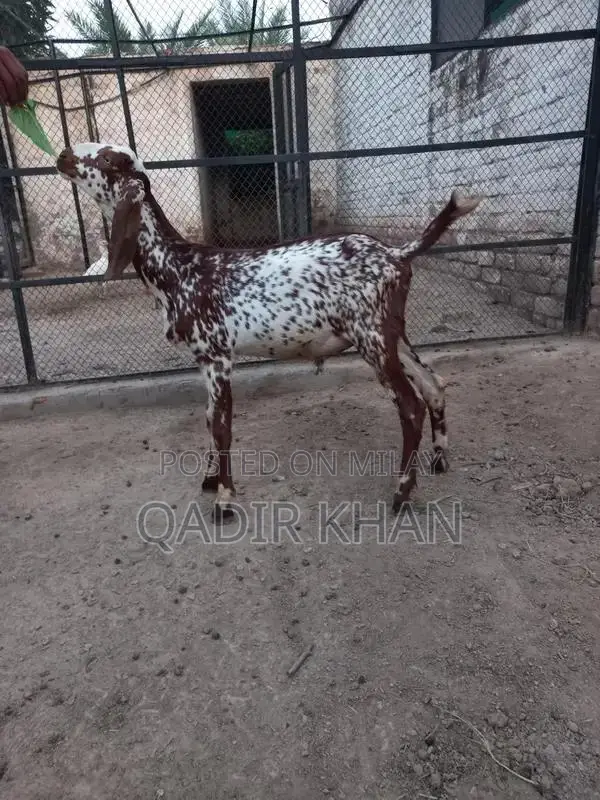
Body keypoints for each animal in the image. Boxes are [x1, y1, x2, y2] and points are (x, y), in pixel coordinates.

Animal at [56, 142, 483, 523]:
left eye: (107, 159)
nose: (63, 155)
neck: (178, 267)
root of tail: (397, 254)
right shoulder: (202, 358)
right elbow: (208, 417)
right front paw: (210, 479)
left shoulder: (217, 356)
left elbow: (222, 425)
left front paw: (224, 500)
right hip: (392, 332)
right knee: (434, 384)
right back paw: (439, 460)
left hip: (372, 337)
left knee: (410, 406)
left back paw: (401, 493)